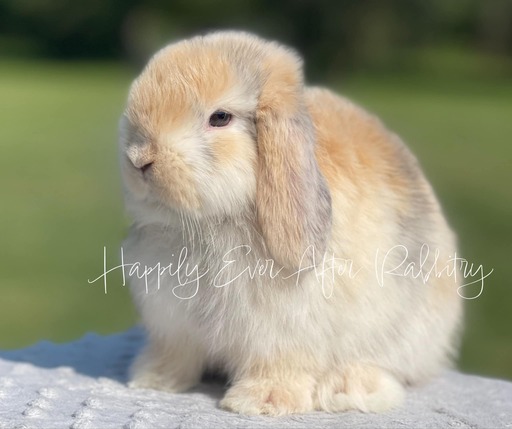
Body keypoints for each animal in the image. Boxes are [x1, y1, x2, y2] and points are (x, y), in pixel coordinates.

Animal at [120, 31, 464, 416]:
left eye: (220, 117)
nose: (139, 159)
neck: (213, 222)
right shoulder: (175, 328)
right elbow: (177, 356)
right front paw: (154, 380)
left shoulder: (282, 336)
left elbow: (278, 366)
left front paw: (260, 402)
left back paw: (349, 389)